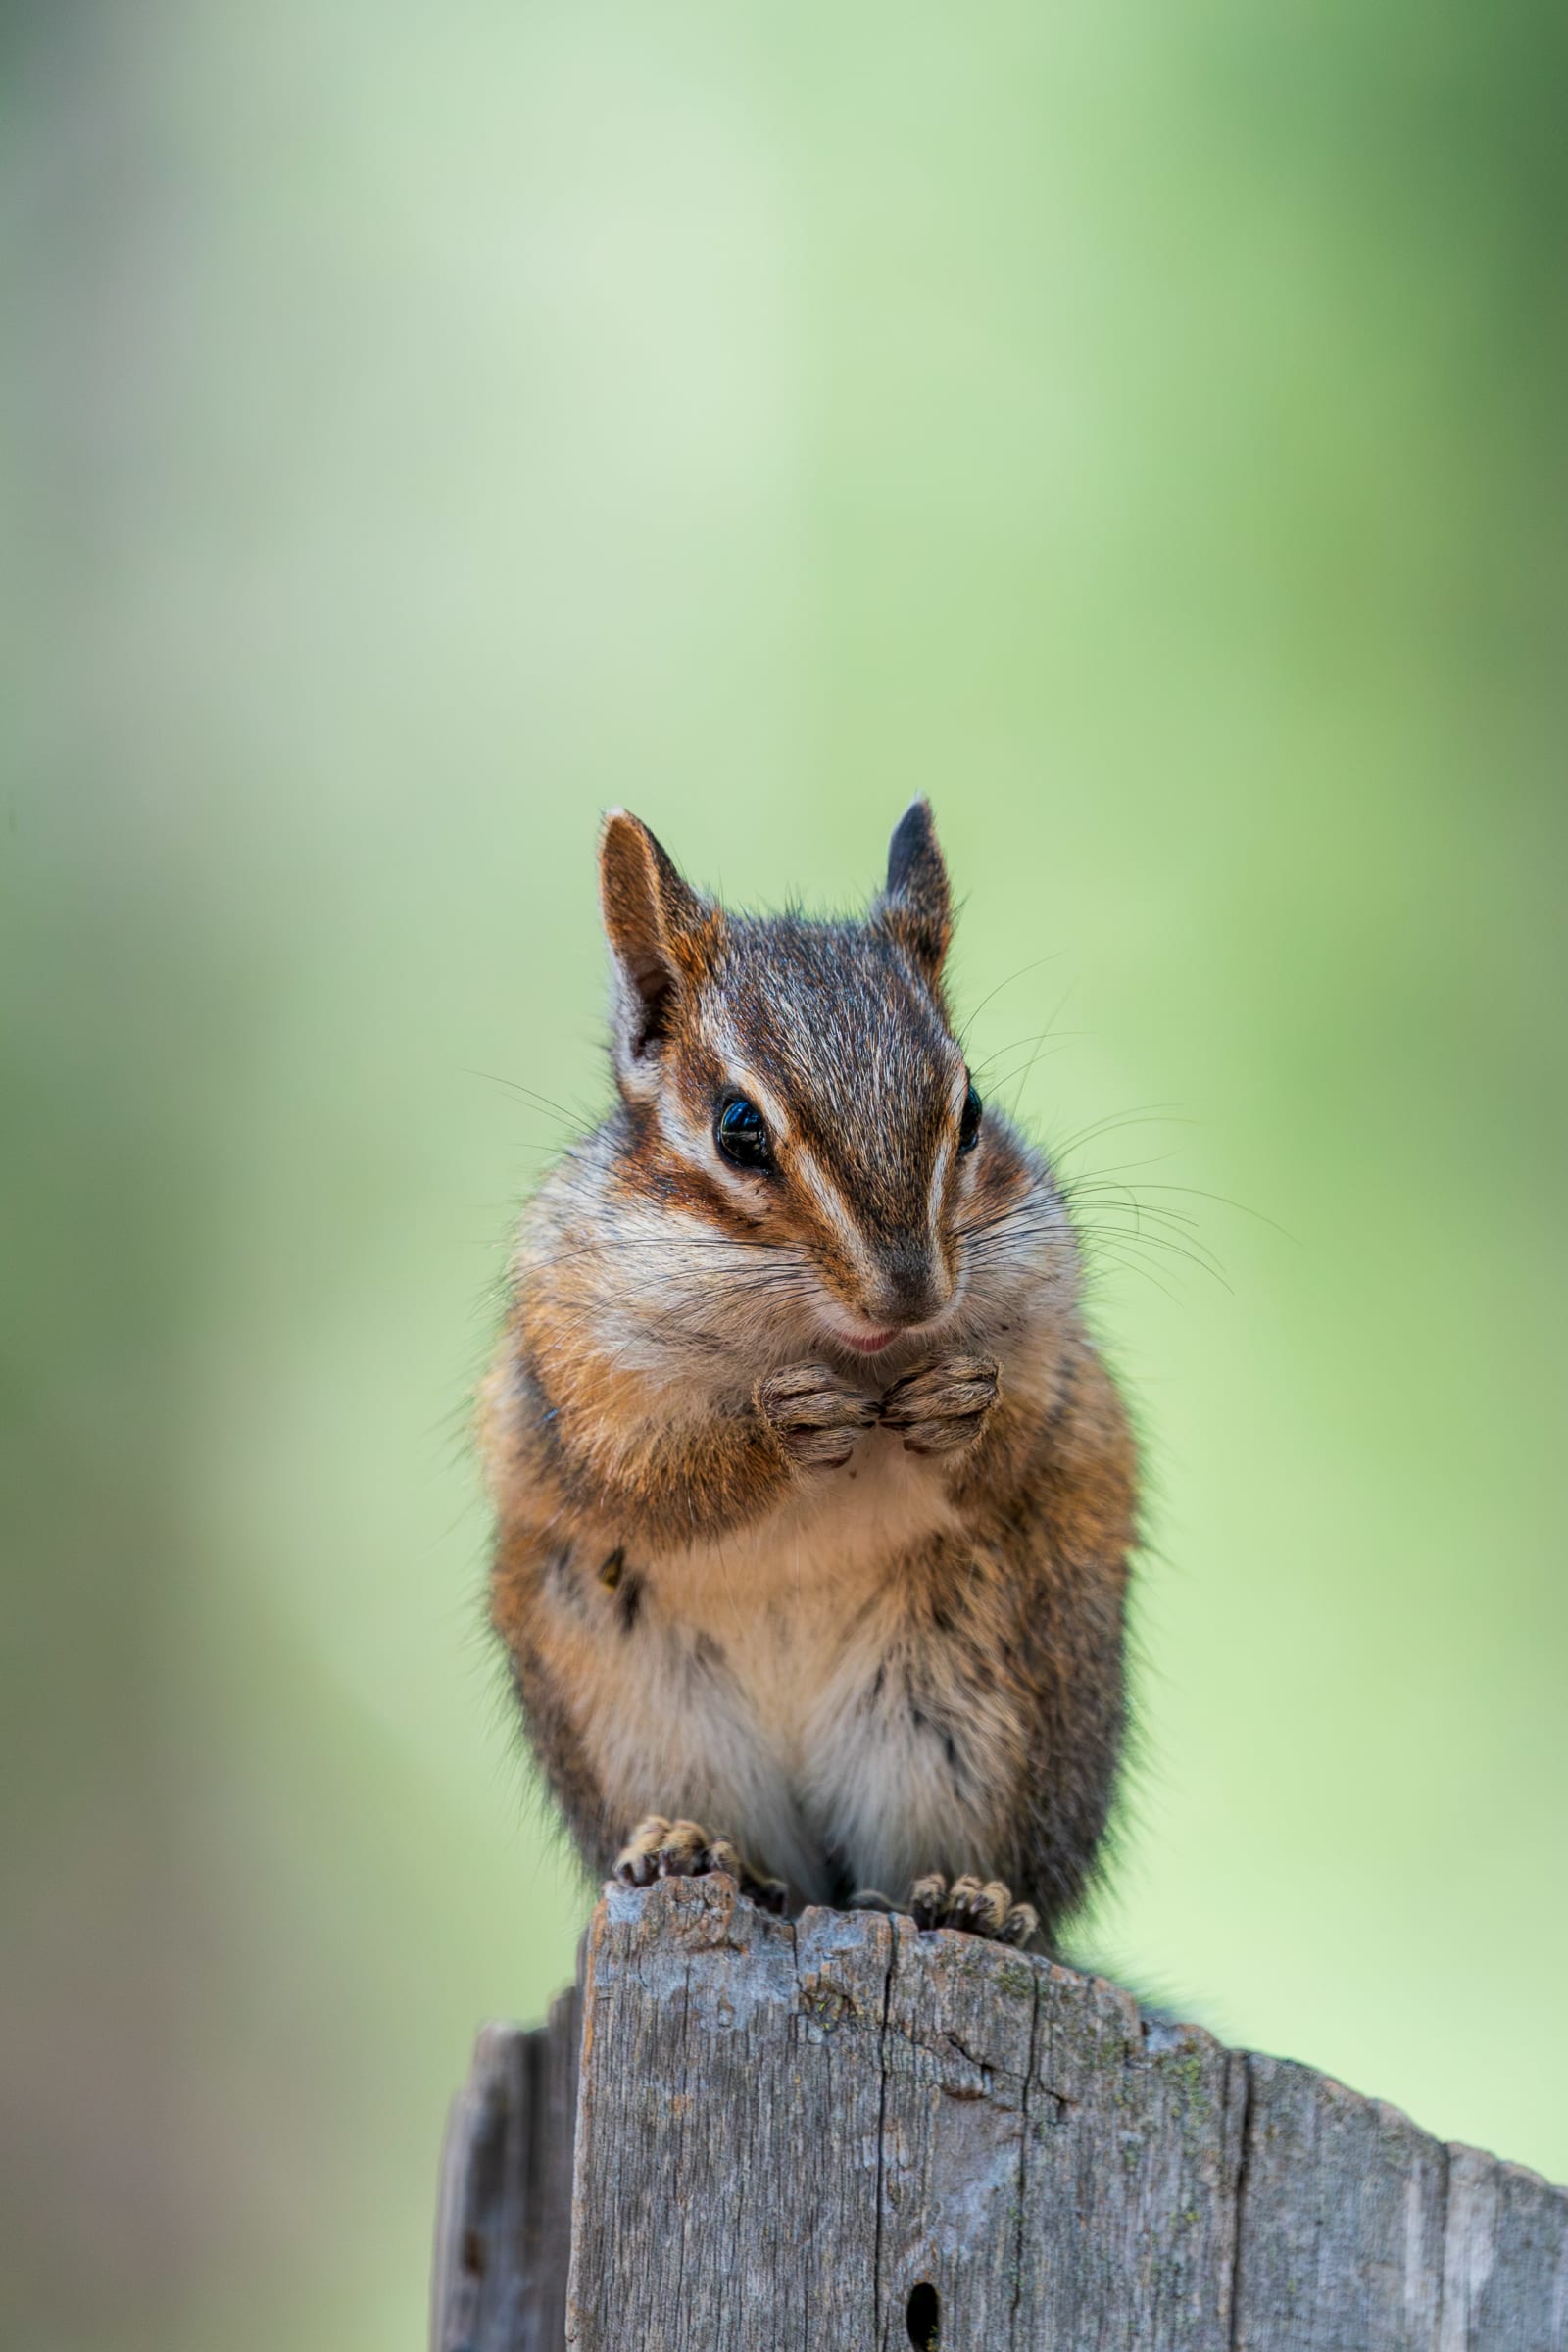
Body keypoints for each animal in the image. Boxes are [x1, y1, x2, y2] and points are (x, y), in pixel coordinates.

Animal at [482, 803, 1136, 1951]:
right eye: (738, 1129)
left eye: (972, 1112)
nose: (911, 1298)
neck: (831, 1348)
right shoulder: (571, 1367)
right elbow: (645, 1477)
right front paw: (780, 1431)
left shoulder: (1050, 1329)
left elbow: (1022, 1433)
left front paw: (956, 1409)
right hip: (646, 1718)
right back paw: (692, 1849)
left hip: (973, 1719)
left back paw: (973, 1899)